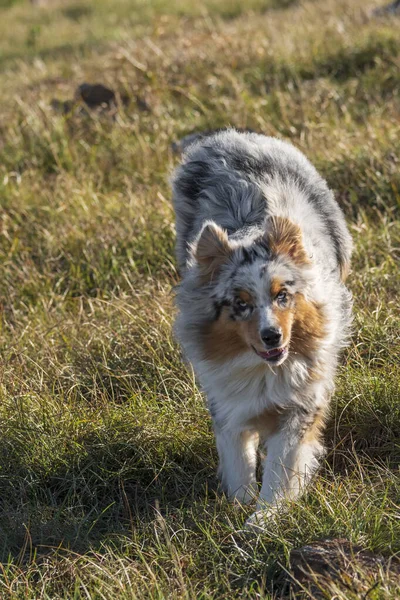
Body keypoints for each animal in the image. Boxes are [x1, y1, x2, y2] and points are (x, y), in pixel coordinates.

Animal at [170, 129, 352, 528]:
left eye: (282, 295)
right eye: (240, 304)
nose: (272, 336)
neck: (264, 370)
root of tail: (228, 135)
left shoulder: (301, 404)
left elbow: (282, 467)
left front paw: (262, 522)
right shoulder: (227, 403)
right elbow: (238, 458)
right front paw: (237, 507)